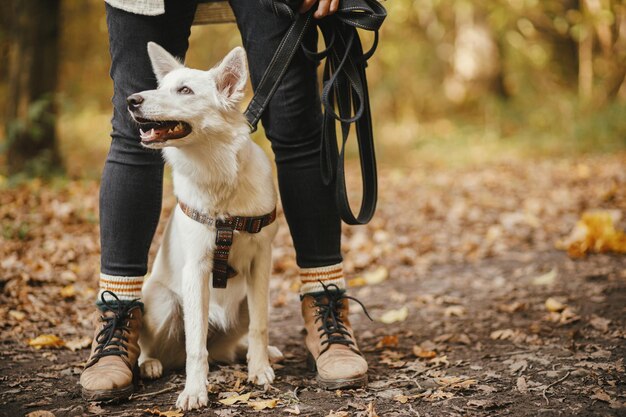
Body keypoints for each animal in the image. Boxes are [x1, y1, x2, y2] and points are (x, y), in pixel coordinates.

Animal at [126, 42, 280, 410]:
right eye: (161, 87)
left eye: (184, 90)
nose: (131, 100)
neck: (217, 173)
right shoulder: (196, 269)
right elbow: (196, 346)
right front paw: (195, 390)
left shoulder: (261, 262)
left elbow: (261, 325)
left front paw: (259, 368)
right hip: (162, 301)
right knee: (154, 346)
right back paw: (150, 364)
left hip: (242, 304)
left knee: (234, 343)